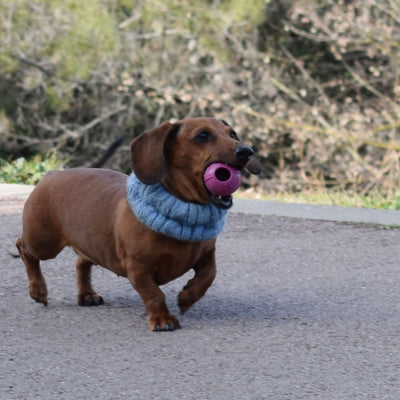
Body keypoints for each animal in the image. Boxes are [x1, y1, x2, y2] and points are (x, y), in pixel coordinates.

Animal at [17, 118, 262, 332]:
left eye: (232, 134)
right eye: (203, 135)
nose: (246, 151)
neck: (180, 212)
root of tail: (54, 173)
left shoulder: (207, 254)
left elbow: (209, 275)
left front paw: (187, 297)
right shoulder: (138, 267)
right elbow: (154, 294)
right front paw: (163, 319)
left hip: (89, 243)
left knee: (81, 262)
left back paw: (87, 295)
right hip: (44, 242)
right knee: (23, 248)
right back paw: (38, 290)